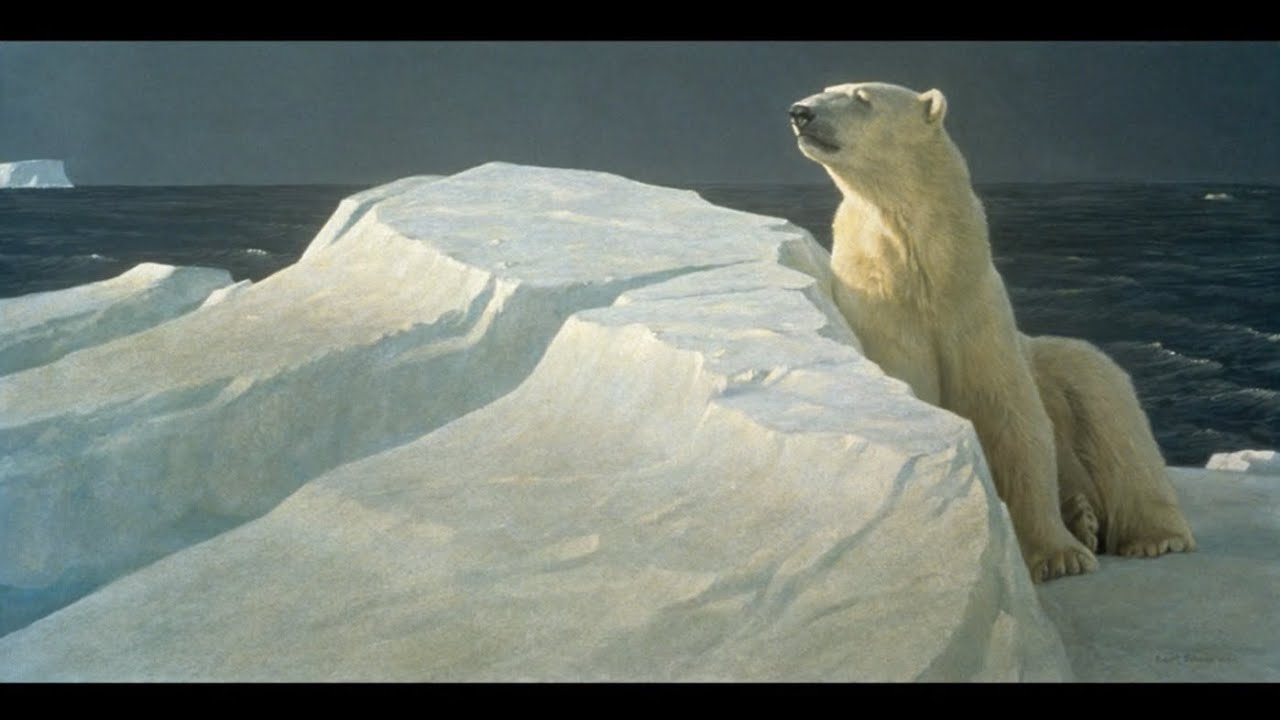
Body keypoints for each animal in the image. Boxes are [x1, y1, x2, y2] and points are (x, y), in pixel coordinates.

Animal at [789, 82, 1196, 582]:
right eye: (827, 89)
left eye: (861, 97)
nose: (800, 112)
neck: (928, 280)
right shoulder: (883, 319)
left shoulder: (980, 318)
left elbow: (1014, 423)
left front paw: (1058, 556)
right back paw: (1086, 518)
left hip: (1069, 367)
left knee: (1115, 421)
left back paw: (1155, 537)